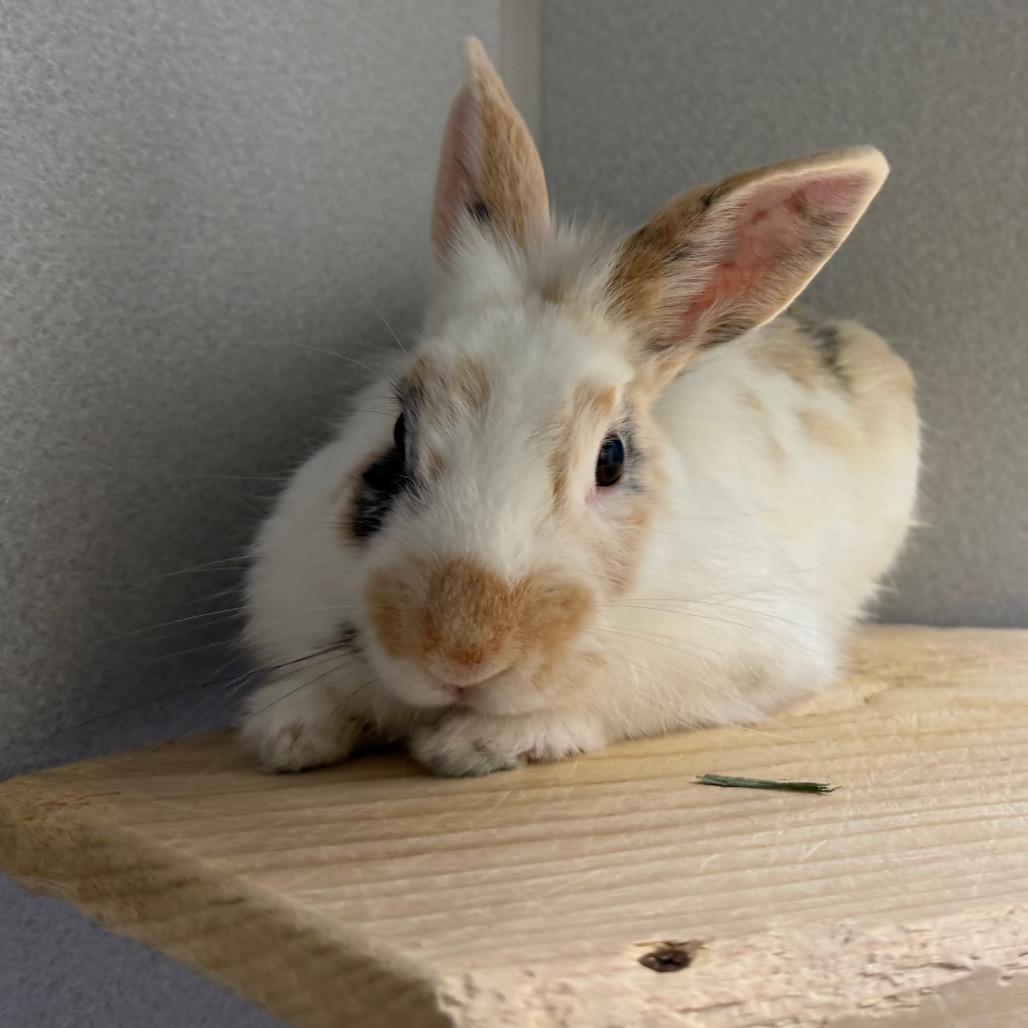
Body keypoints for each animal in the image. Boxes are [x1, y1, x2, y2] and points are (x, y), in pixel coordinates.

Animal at [240, 38, 919, 778]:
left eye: (610, 460)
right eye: (397, 435)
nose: (460, 653)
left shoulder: (744, 650)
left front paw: (477, 744)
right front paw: (287, 733)